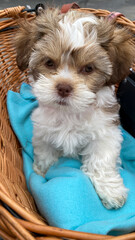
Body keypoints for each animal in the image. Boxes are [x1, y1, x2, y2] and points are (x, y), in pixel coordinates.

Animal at [15, 8, 134, 209]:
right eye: (49, 63)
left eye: (88, 68)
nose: (63, 87)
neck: (70, 113)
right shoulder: (43, 129)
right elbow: (45, 151)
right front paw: (42, 170)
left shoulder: (105, 132)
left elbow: (100, 160)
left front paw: (111, 191)